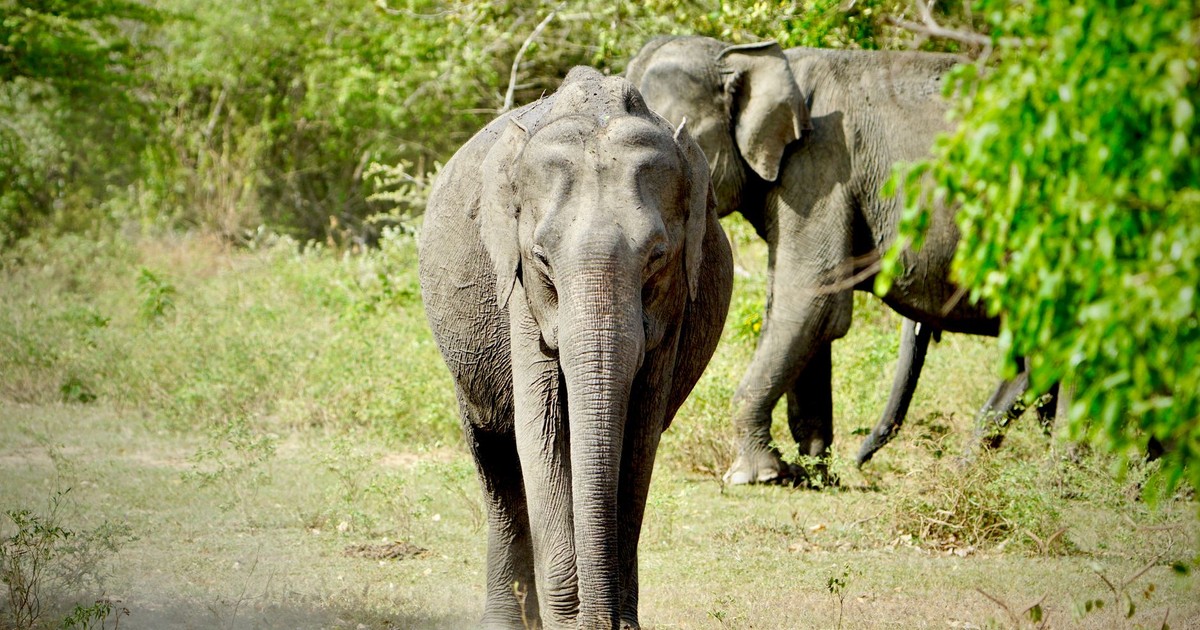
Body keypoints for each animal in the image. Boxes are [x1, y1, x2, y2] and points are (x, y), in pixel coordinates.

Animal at [419, 67, 733, 629]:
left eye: (657, 257)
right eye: (542, 257)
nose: (600, 621)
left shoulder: (676, 300)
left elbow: (639, 434)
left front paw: (620, 624)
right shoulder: (520, 291)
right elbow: (539, 430)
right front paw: (572, 622)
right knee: (496, 460)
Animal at [626, 36, 1009, 485]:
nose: (858, 463)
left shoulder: (821, 167)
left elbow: (811, 300)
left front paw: (756, 476)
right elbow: (804, 312)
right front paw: (810, 476)